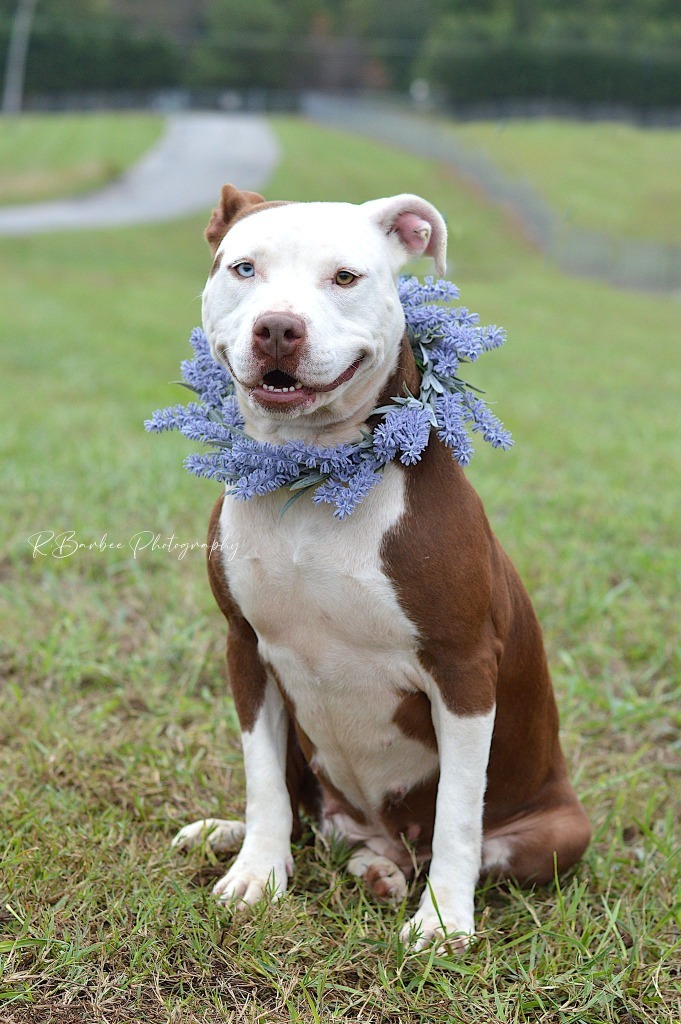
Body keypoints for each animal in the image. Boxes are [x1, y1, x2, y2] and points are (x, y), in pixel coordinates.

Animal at [171, 184, 589, 950]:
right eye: (244, 268)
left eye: (345, 277)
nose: (278, 329)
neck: (309, 478)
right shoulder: (244, 646)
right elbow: (262, 780)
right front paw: (256, 874)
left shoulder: (463, 670)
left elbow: (459, 812)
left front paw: (444, 923)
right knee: (307, 814)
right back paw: (252, 839)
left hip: (560, 830)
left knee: (466, 845)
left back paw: (392, 877)